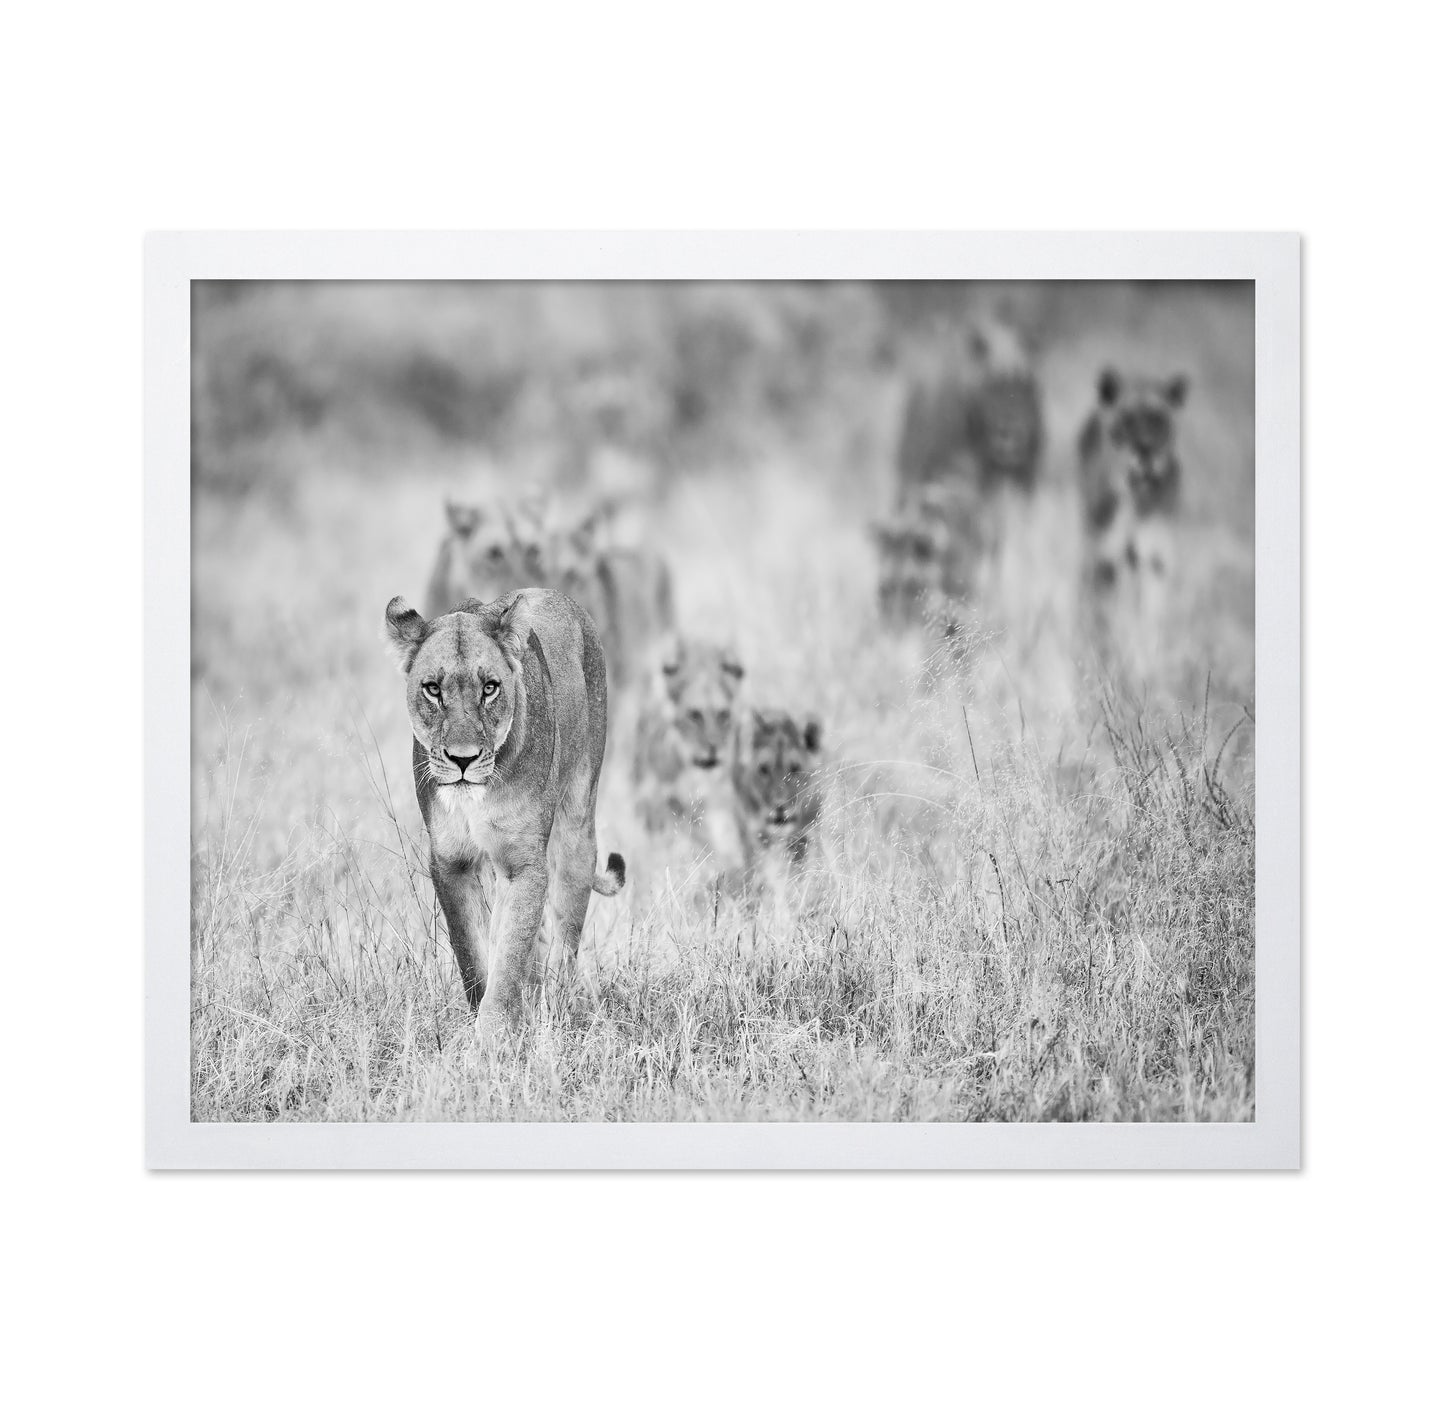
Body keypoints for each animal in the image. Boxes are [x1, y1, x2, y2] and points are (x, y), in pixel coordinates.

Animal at [384, 588, 624, 1036]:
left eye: (490, 688)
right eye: (432, 689)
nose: (462, 759)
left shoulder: (523, 862)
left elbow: (510, 954)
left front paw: (493, 1038)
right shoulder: (450, 860)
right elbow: (473, 956)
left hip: (577, 828)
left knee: (564, 942)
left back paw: (555, 1012)